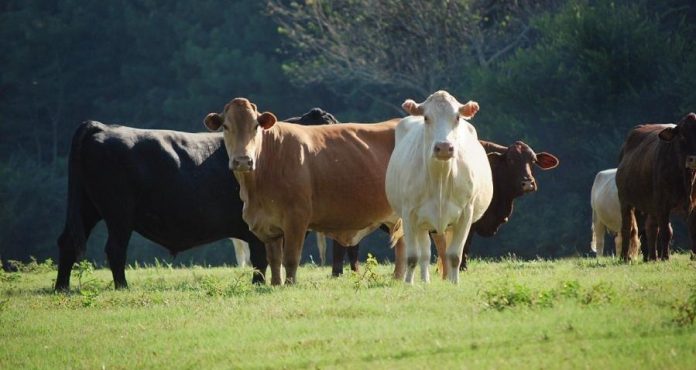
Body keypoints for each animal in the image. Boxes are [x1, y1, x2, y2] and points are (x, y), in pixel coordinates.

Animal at [55, 107, 336, 292]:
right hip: (119, 213)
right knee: (115, 248)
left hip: (88, 207)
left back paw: (62, 287)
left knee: (68, 242)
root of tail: (102, 126)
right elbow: (260, 259)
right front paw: (258, 285)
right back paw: (122, 286)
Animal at [204, 97, 402, 284]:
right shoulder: (268, 225)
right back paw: (399, 277)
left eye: (256, 126)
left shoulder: (296, 217)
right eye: (226, 126)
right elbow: (274, 259)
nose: (243, 161)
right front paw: (275, 284)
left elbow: (290, 258)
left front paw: (289, 284)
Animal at [616, 114, 696, 262]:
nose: (693, 159)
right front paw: (665, 257)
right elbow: (666, 231)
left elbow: (693, 230)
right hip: (626, 201)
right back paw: (625, 257)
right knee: (628, 227)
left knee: (649, 228)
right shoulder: (662, 204)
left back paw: (651, 257)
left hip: (647, 205)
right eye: (682, 136)